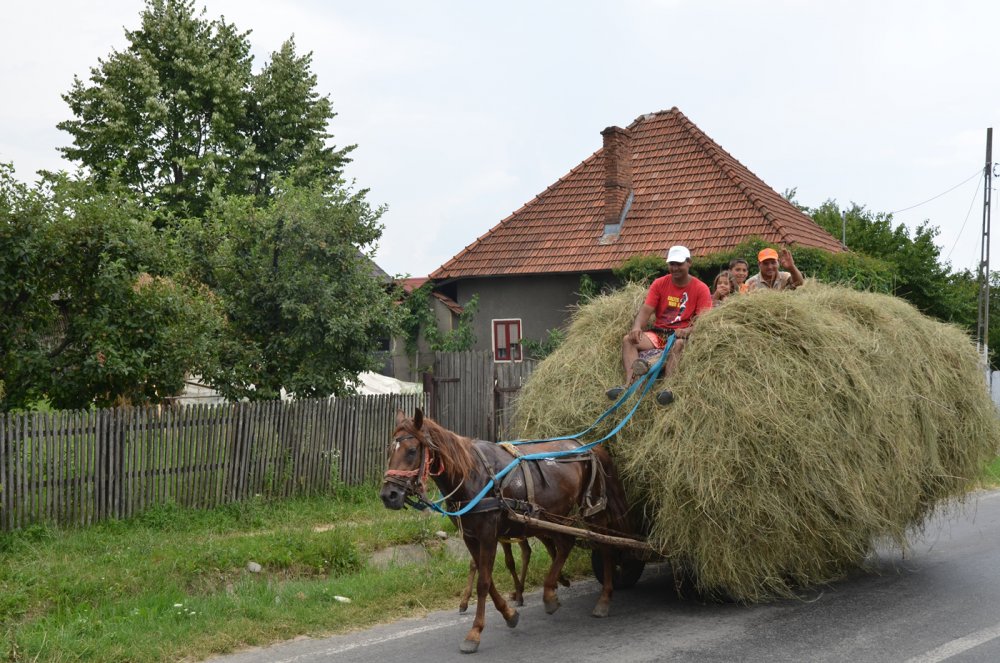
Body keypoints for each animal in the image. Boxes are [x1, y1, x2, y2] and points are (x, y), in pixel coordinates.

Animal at [378, 410, 628, 652]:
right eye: (390, 449)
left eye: (412, 451)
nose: (388, 495)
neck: (473, 474)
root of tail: (587, 444)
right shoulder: (471, 537)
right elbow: (486, 578)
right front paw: (509, 614)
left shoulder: (489, 535)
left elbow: (483, 583)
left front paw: (474, 633)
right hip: (552, 516)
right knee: (566, 544)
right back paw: (550, 593)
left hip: (592, 509)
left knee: (605, 545)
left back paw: (604, 597)